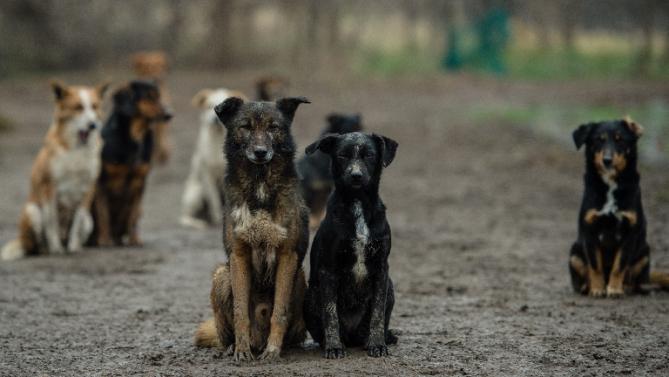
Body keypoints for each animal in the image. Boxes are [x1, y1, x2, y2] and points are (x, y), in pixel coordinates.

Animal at [1, 81, 108, 260]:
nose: (93, 125)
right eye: (78, 107)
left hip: (89, 221)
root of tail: (21, 239)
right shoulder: (49, 187)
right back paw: (46, 249)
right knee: (34, 246)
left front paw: (73, 247)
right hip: (33, 211)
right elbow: (51, 221)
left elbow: (76, 223)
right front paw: (55, 248)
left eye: (95, 107)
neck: (76, 150)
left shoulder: (88, 189)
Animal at [179, 88, 247, 228]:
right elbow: (214, 201)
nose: (215, 119)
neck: (217, 138)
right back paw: (198, 223)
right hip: (196, 193)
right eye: (208, 105)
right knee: (184, 217)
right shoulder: (208, 176)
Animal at [192, 95, 310, 360]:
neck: (260, 184)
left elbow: (279, 311)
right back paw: (233, 347)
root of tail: (259, 339)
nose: (260, 152)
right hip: (221, 275)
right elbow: (240, 311)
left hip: (300, 278)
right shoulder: (239, 255)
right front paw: (242, 351)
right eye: (245, 126)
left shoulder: (287, 256)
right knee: (225, 333)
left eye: (273, 127)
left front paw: (273, 350)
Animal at [302, 132, 396, 358]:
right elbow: (330, 314)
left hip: (391, 286)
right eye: (342, 155)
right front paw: (334, 347)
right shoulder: (328, 270)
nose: (356, 175)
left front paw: (377, 344)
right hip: (310, 296)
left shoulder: (381, 269)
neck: (358, 202)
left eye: (369, 155)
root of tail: (353, 337)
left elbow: (377, 314)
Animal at [568, 119, 668, 296]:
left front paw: (614, 289)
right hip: (574, 252)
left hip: (644, 253)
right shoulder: (590, 230)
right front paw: (597, 289)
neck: (611, 184)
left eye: (619, 140)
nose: (607, 160)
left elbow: (619, 266)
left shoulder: (629, 233)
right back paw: (587, 286)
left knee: (635, 281)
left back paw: (626, 287)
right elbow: (595, 266)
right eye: (598, 140)